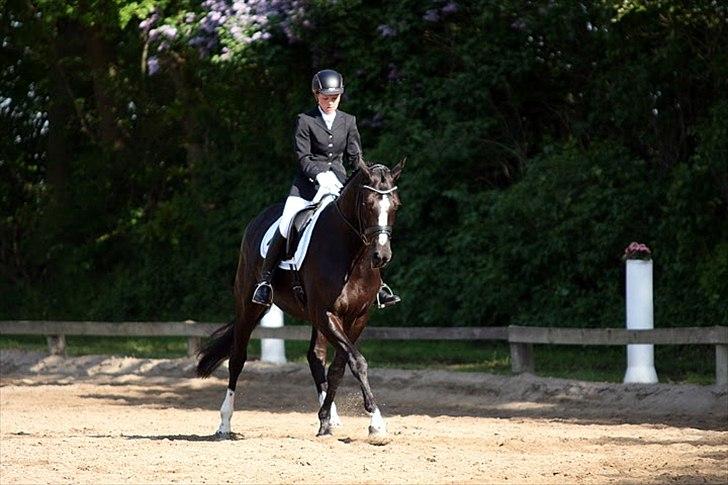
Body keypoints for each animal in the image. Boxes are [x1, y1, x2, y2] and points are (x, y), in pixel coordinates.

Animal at [196, 157, 406, 436]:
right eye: (367, 204)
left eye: (396, 205)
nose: (381, 256)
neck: (351, 254)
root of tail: (259, 219)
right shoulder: (326, 313)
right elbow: (358, 362)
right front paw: (377, 422)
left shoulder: (358, 317)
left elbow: (340, 366)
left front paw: (327, 419)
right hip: (249, 307)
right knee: (237, 359)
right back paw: (224, 422)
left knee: (315, 357)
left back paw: (331, 418)